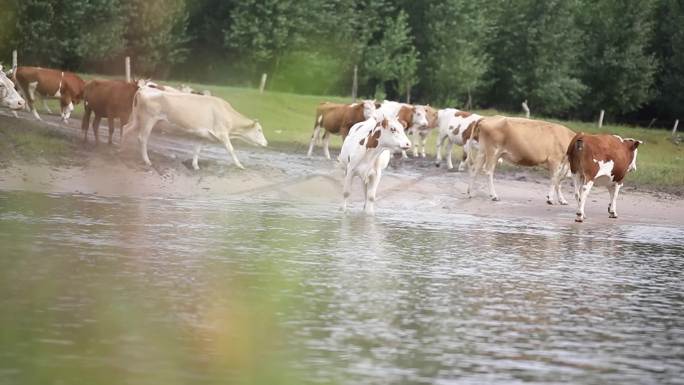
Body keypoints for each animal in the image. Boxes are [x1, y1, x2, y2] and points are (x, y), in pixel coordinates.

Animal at [121, 88, 266, 170]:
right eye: (259, 130)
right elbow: (231, 149)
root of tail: (143, 90)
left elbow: (197, 150)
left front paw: (195, 166)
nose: (266, 143)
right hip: (148, 119)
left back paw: (121, 151)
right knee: (142, 138)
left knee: (125, 129)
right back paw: (147, 161)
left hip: (137, 118)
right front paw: (240, 165)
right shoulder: (222, 133)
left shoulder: (201, 135)